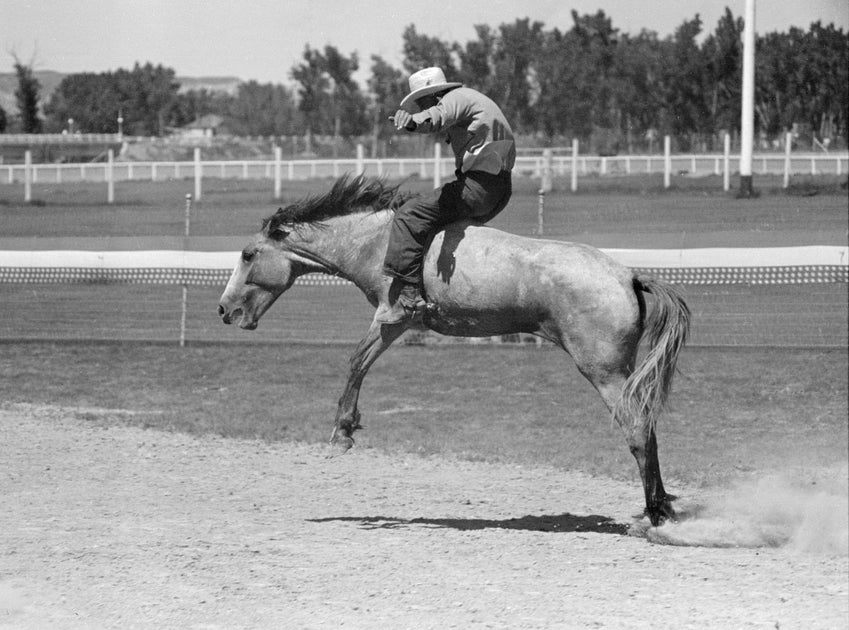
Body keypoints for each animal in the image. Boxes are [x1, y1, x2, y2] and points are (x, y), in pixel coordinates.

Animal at [217, 175, 688, 524]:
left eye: (248, 254)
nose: (224, 309)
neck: (377, 240)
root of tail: (627, 275)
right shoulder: (399, 324)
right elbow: (360, 363)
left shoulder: (392, 316)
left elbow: (355, 362)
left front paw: (341, 433)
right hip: (623, 374)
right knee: (648, 426)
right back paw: (662, 507)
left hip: (605, 373)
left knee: (638, 430)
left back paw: (654, 515)